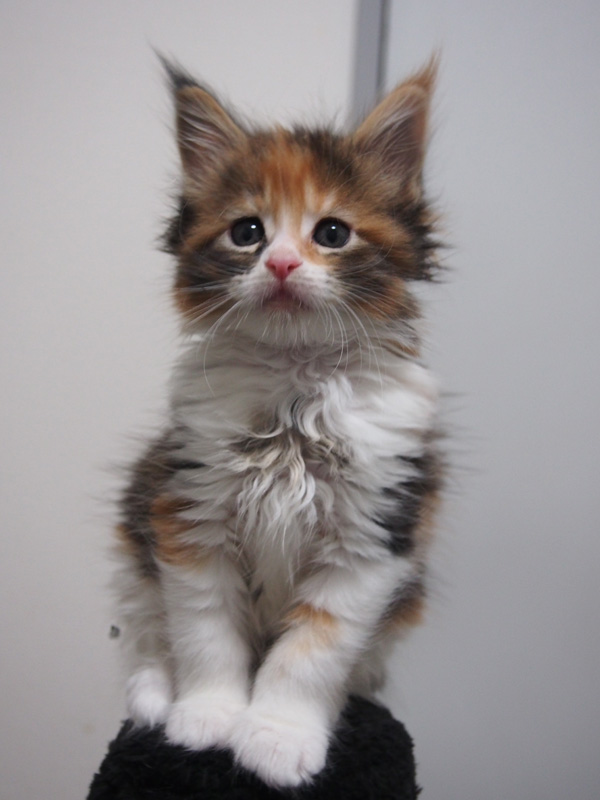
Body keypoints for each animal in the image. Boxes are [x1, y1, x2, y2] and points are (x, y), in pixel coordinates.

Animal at [113, 57, 443, 788]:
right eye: (247, 233)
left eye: (331, 233)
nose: (284, 263)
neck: (295, 386)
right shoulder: (189, 512)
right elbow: (204, 629)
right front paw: (206, 719)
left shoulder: (371, 537)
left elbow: (312, 652)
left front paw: (275, 739)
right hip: (137, 518)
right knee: (148, 626)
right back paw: (153, 694)